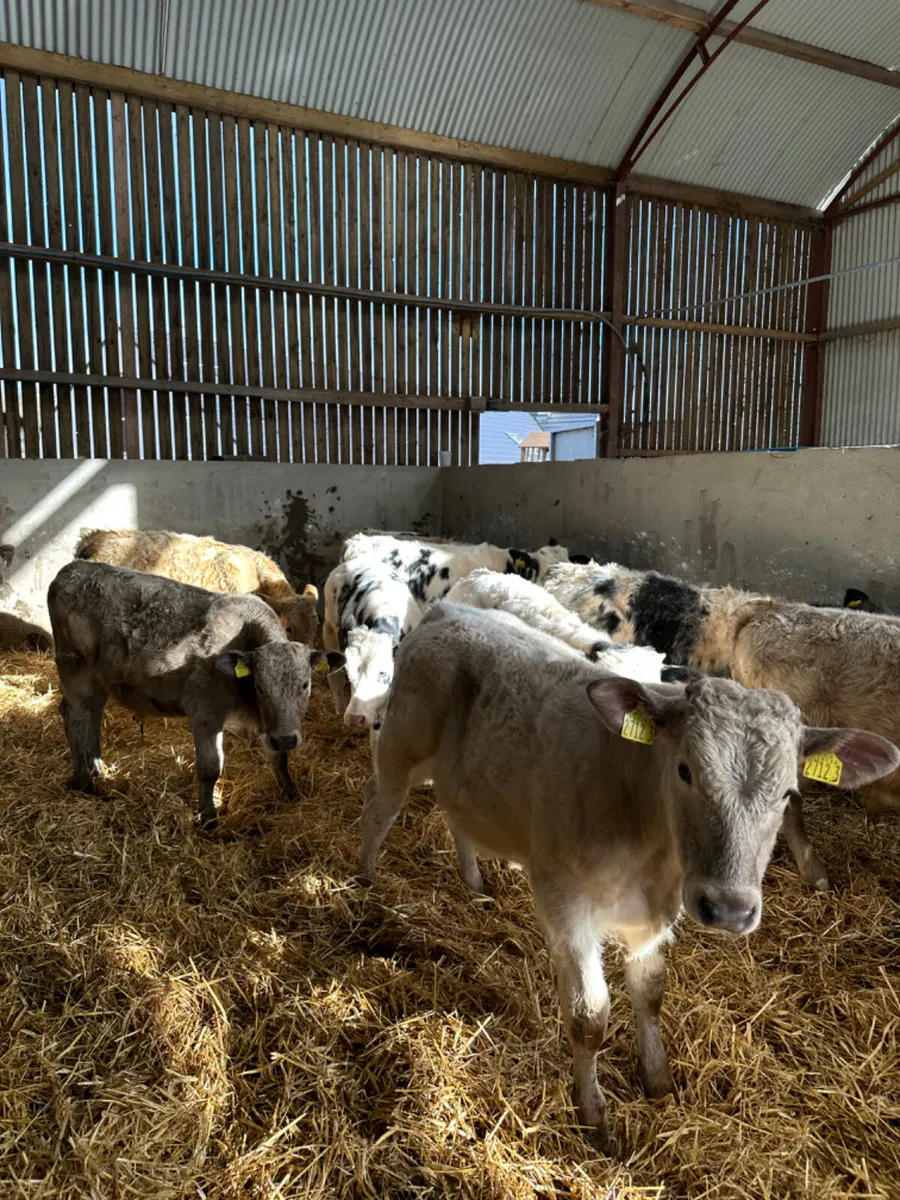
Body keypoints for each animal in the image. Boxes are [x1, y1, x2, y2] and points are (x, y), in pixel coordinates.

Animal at [48, 561, 343, 828]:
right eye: (260, 686)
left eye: (305, 685)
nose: (286, 739)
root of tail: (72, 568)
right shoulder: (205, 715)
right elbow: (211, 767)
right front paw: (208, 817)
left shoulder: (270, 724)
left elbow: (280, 760)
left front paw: (291, 793)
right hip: (75, 672)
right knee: (75, 718)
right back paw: (84, 782)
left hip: (101, 679)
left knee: (91, 715)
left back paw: (96, 766)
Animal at [358, 602, 900, 1152]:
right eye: (685, 770)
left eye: (789, 791)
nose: (729, 909)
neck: (647, 841)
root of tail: (449, 610)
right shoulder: (565, 904)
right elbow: (589, 1016)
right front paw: (593, 1114)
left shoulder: (656, 918)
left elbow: (651, 992)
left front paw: (657, 1078)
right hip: (400, 745)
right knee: (379, 808)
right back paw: (364, 879)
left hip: (461, 779)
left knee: (454, 815)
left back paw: (472, 882)